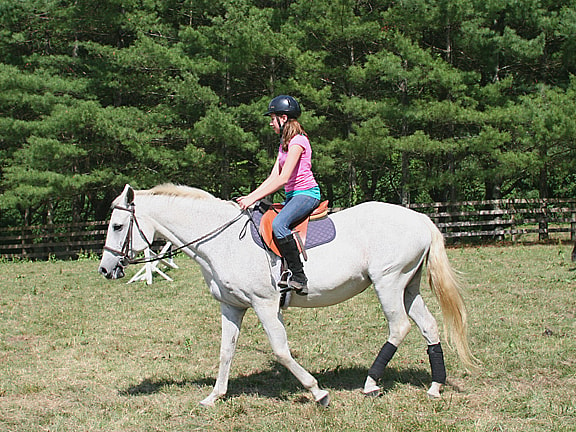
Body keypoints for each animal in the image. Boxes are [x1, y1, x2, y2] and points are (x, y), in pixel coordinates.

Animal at [100, 184, 476, 406]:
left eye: (117, 226)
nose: (106, 270)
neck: (222, 241)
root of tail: (421, 219)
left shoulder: (265, 305)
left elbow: (281, 350)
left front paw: (318, 391)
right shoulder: (231, 306)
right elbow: (226, 351)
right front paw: (214, 396)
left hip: (389, 283)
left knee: (399, 327)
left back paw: (370, 383)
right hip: (408, 287)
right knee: (429, 326)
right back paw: (435, 386)